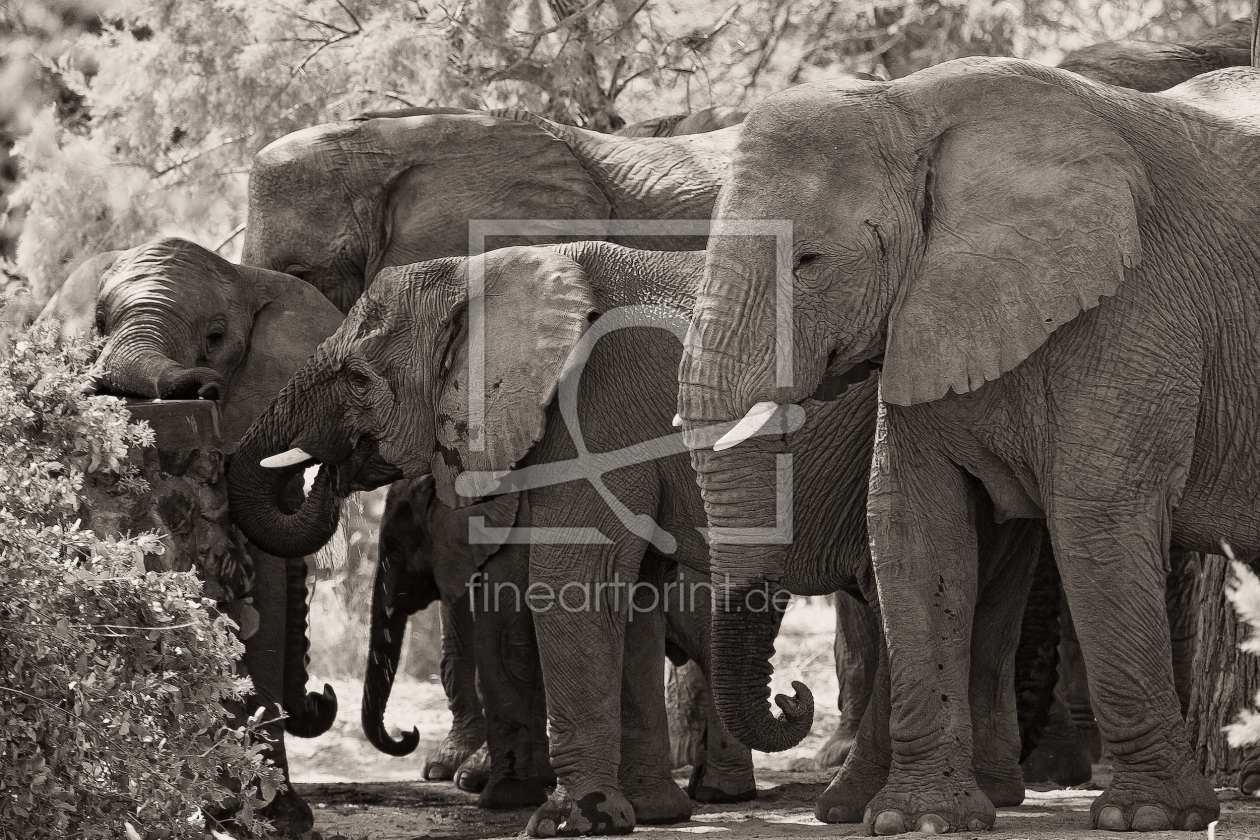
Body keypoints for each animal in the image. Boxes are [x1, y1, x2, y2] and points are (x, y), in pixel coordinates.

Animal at [224, 239, 1063, 836]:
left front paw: (567, 823)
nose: (328, 471)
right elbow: (632, 596)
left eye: (359, 381)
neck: (485, 270)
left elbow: (575, 576)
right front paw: (648, 816)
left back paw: (861, 810)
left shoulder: (594, 409)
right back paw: (949, 802)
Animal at [675, 59, 1260, 836]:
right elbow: (915, 529)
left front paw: (1147, 815)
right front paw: (918, 819)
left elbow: (1097, 517)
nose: (792, 695)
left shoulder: (1137, 305)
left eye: (808, 261)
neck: (909, 105)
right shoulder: (925, 316)